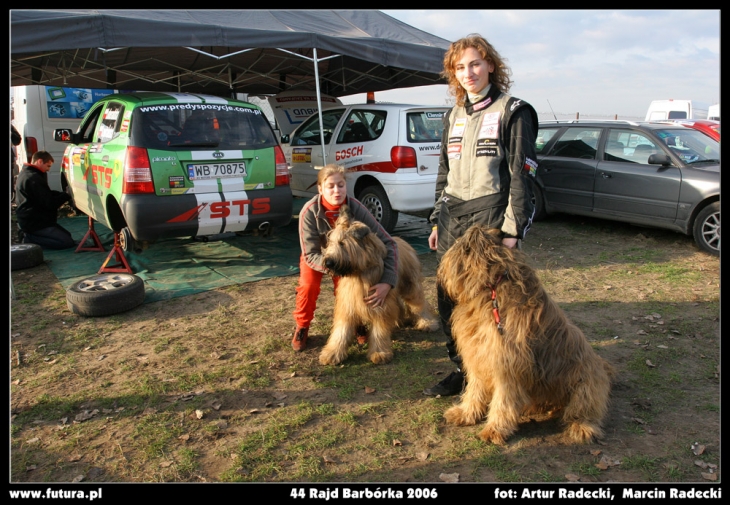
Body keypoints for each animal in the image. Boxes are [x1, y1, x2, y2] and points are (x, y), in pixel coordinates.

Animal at [318, 207, 438, 364]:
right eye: (330, 242)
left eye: (342, 243)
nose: (328, 263)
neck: (359, 274)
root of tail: (402, 241)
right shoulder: (348, 304)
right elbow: (341, 330)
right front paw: (332, 353)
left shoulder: (380, 303)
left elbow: (379, 330)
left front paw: (379, 353)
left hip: (410, 286)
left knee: (419, 304)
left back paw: (427, 322)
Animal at [436, 226, 612, 442]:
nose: (440, 272)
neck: (491, 289)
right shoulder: (479, 356)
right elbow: (474, 390)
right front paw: (465, 413)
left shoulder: (507, 364)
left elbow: (503, 401)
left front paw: (494, 429)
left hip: (584, 385)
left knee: (583, 409)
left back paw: (582, 426)